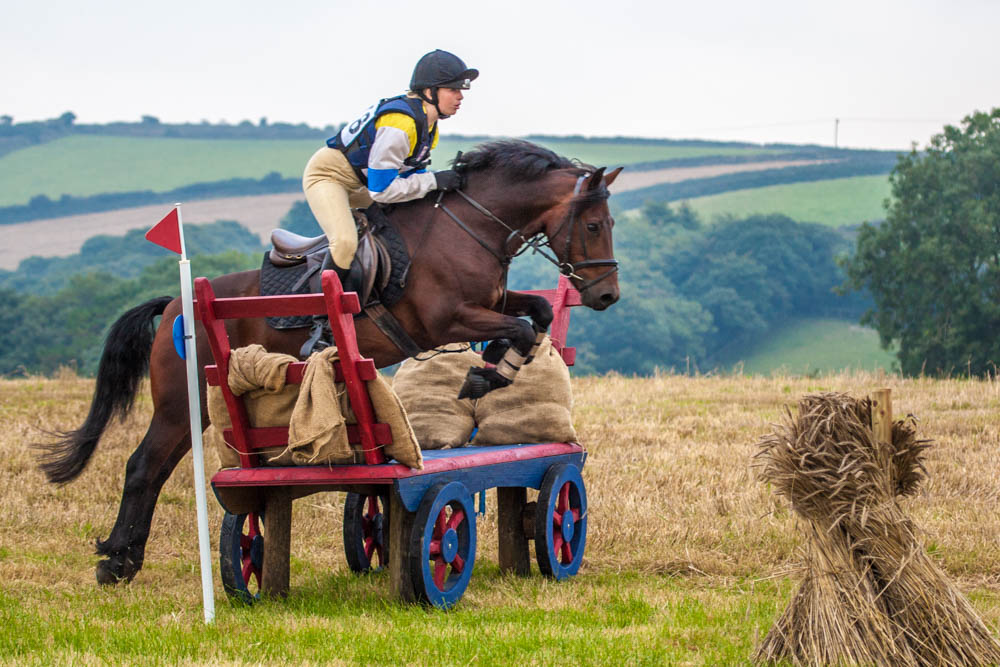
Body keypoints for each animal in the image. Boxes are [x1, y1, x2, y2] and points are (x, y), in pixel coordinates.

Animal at [35, 141, 620, 584]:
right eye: (594, 225)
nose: (607, 295)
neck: (466, 227)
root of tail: (175, 305)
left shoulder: (489, 304)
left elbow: (535, 311)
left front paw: (494, 365)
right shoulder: (446, 320)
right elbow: (519, 326)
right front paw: (484, 374)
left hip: (193, 407)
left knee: (154, 469)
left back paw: (124, 557)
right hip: (181, 403)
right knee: (142, 467)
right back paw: (115, 561)